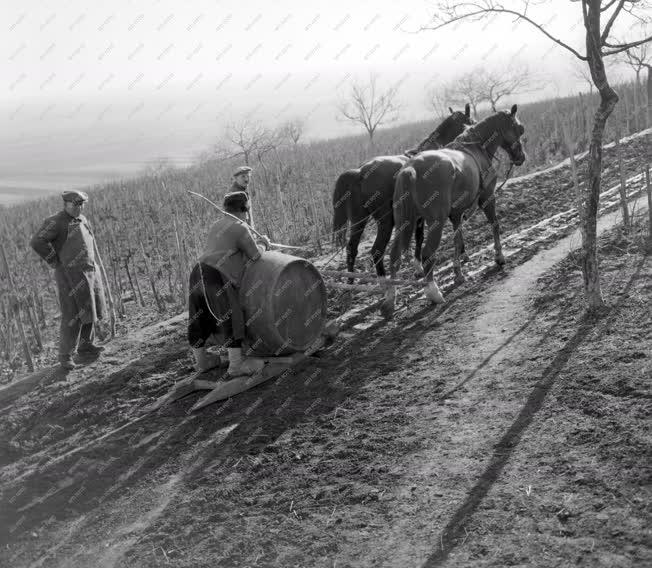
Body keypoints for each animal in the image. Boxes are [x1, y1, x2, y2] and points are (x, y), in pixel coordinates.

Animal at [334, 103, 472, 280]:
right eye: (469, 120)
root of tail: (360, 172)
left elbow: (419, 237)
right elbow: (424, 237)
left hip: (359, 220)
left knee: (352, 248)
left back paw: (351, 280)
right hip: (385, 221)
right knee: (376, 250)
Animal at [382, 104, 528, 318]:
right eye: (519, 129)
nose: (521, 157)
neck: (475, 146)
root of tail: (410, 170)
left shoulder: (456, 214)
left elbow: (457, 239)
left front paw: (458, 273)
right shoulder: (488, 198)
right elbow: (494, 224)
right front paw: (499, 257)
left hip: (404, 222)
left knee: (394, 256)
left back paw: (390, 300)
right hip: (435, 222)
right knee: (427, 253)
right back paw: (433, 293)